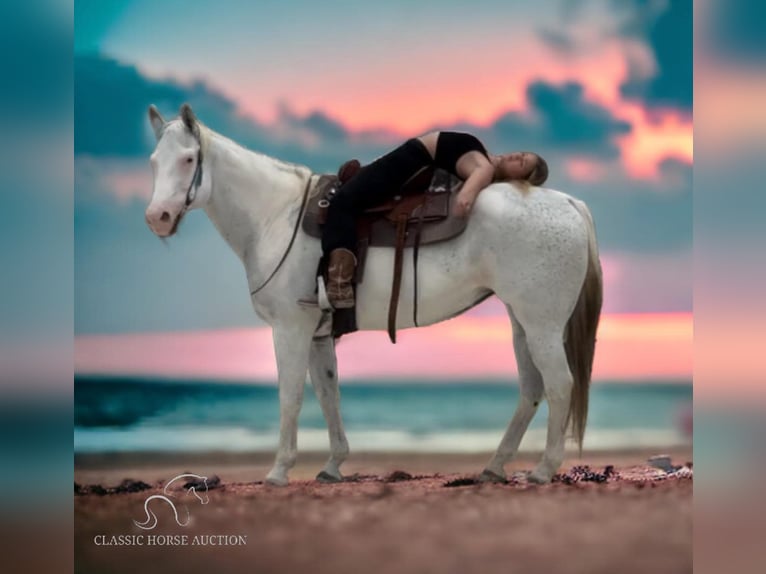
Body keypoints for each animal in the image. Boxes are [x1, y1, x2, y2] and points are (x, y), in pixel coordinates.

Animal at [142, 102, 600, 486]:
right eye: (153, 162)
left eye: (188, 159)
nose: (157, 217)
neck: (276, 215)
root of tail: (570, 202)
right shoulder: (318, 334)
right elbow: (329, 394)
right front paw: (332, 465)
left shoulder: (290, 328)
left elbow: (290, 396)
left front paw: (278, 471)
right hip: (522, 320)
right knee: (532, 389)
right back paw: (495, 466)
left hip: (542, 324)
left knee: (559, 384)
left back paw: (542, 470)